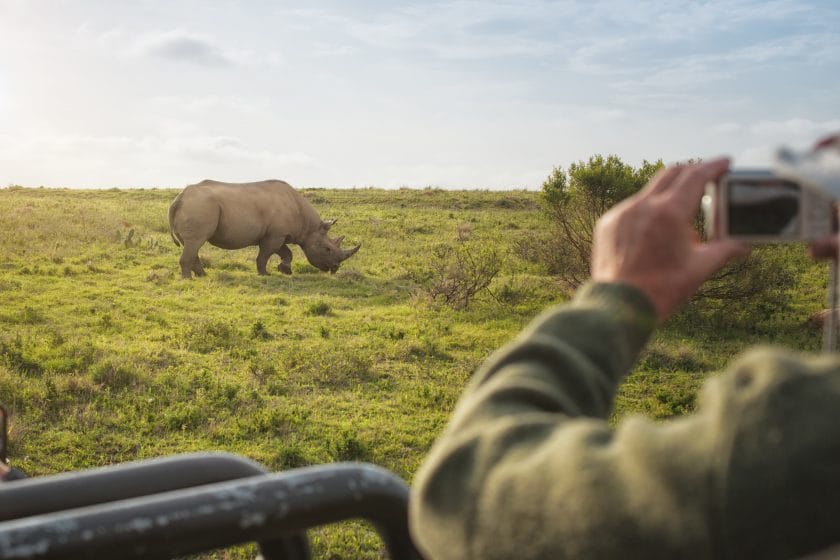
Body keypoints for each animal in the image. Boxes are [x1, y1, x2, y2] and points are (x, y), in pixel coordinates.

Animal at [167, 178, 358, 278]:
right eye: (327, 249)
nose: (334, 268)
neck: (309, 227)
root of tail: (179, 199)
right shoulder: (274, 235)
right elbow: (265, 255)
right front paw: (264, 274)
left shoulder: (278, 234)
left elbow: (286, 252)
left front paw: (285, 270)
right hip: (200, 206)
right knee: (195, 242)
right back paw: (188, 279)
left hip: (197, 206)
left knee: (192, 244)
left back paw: (202, 275)